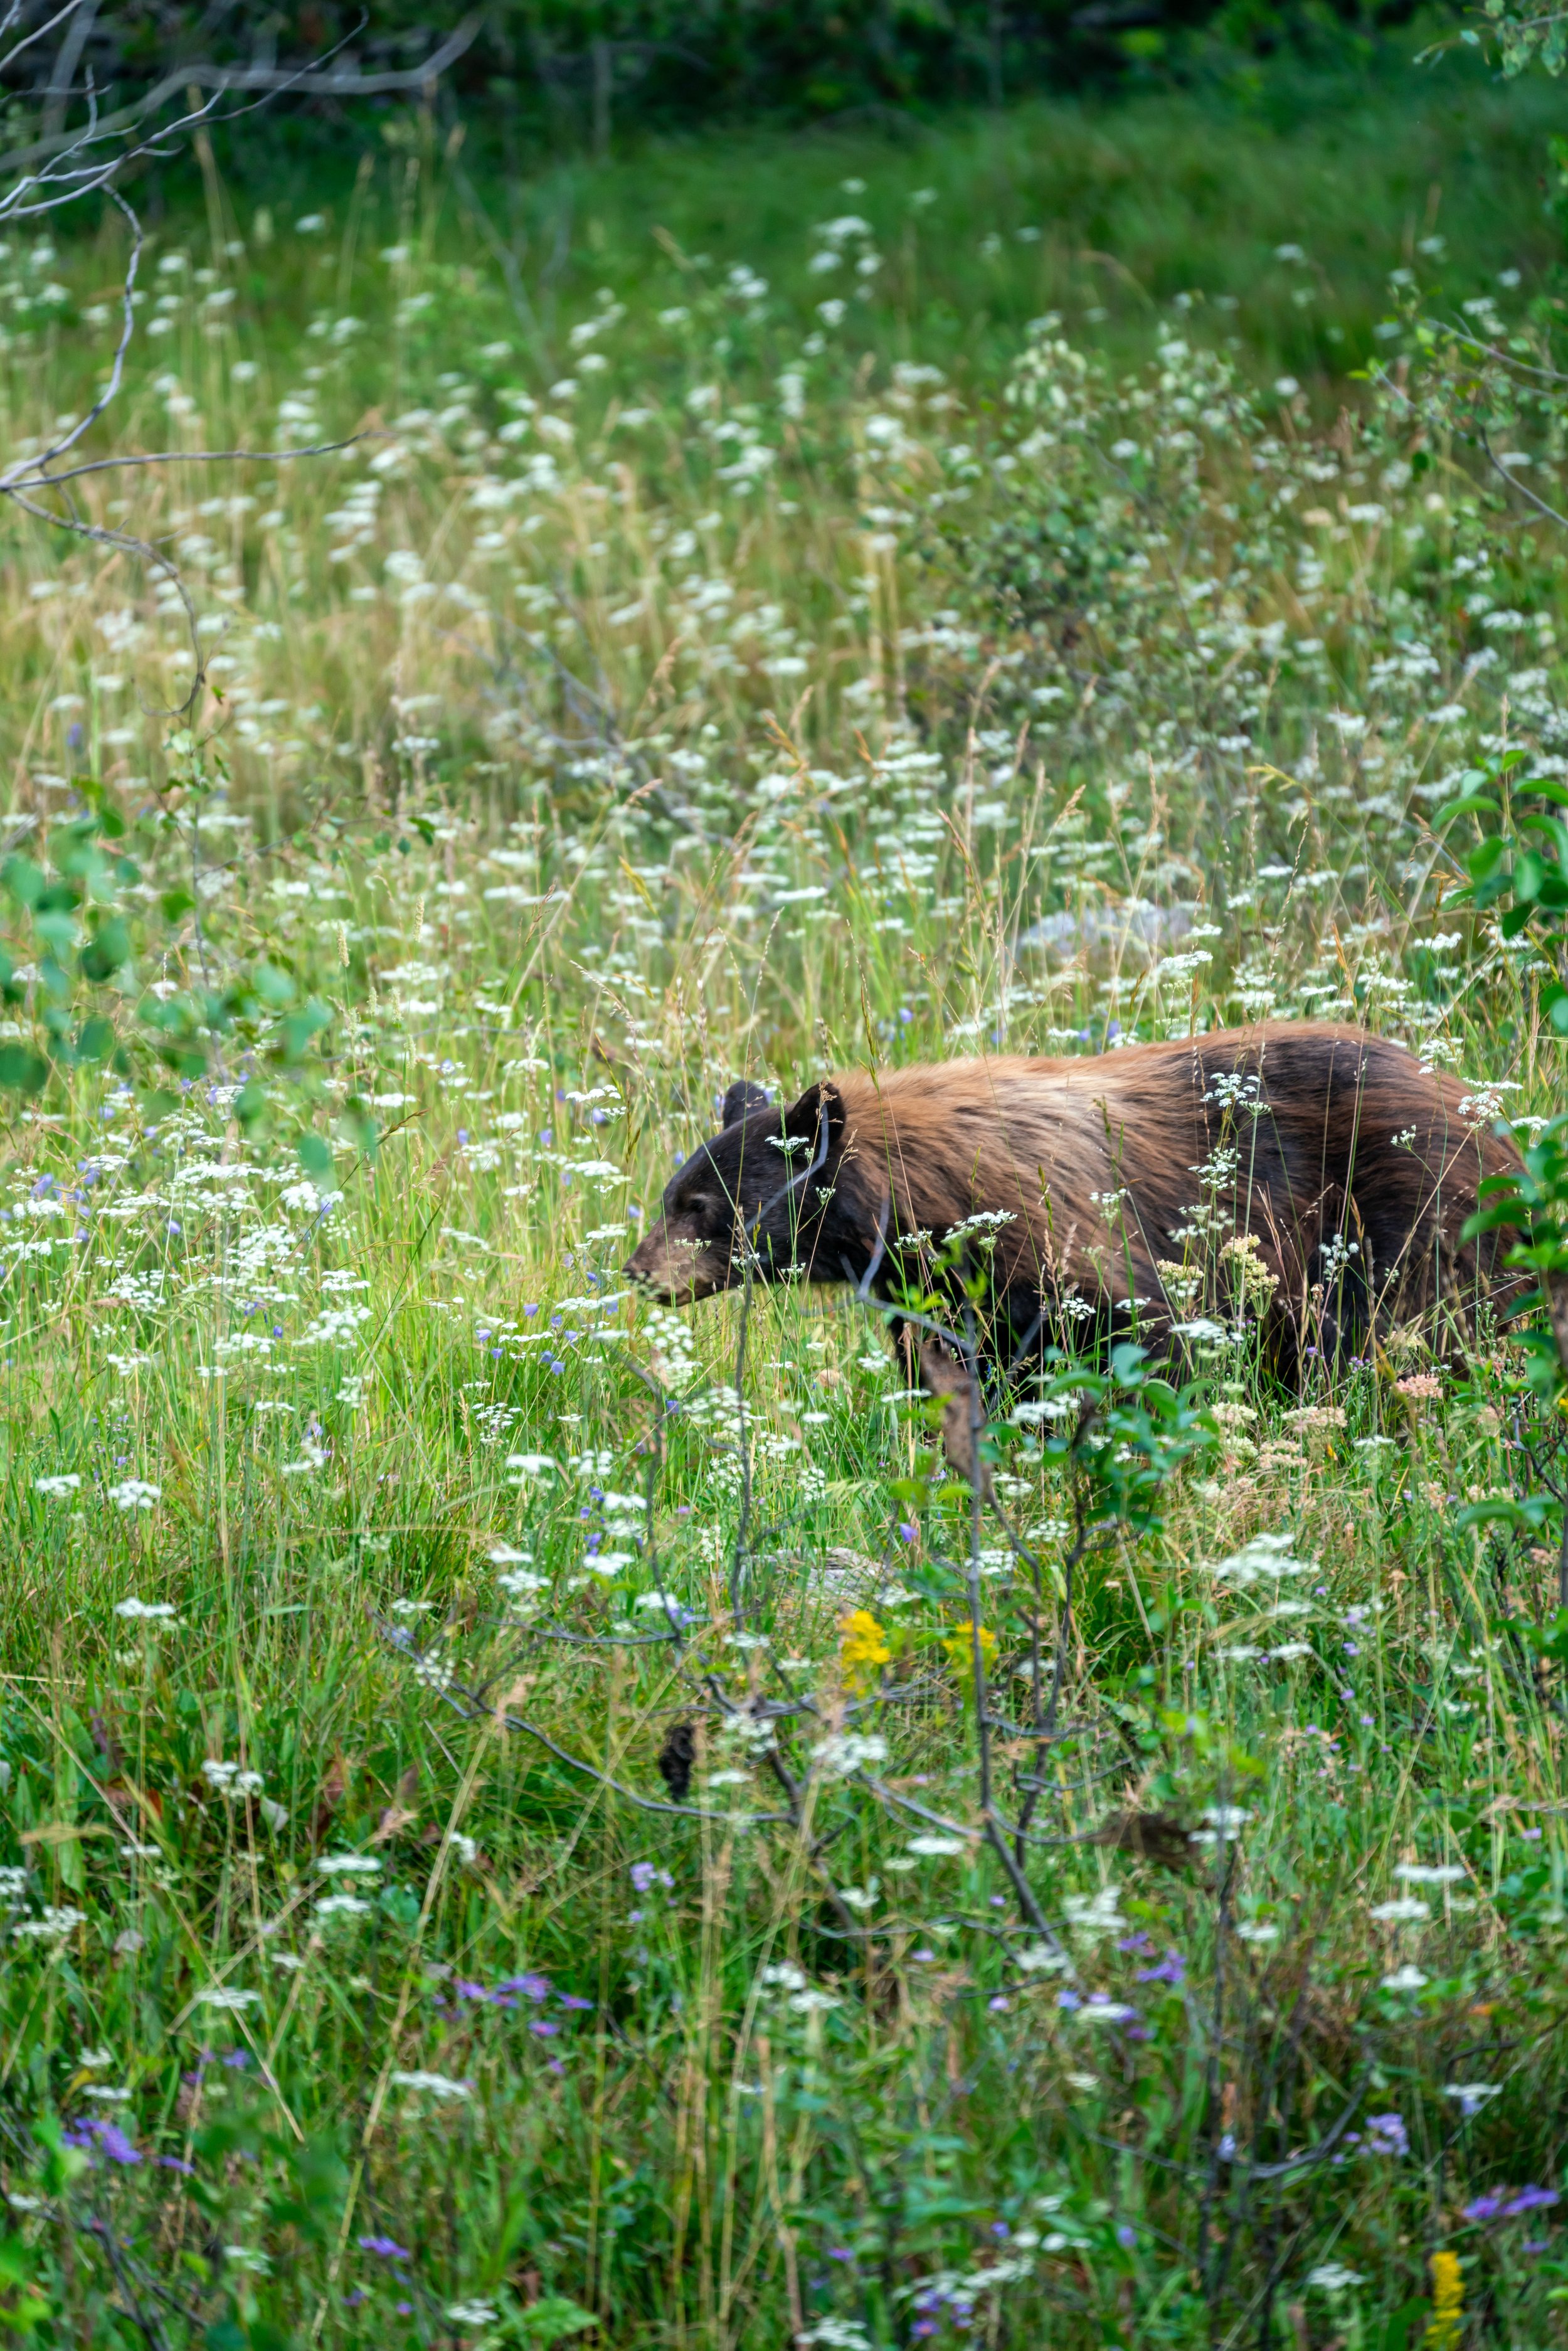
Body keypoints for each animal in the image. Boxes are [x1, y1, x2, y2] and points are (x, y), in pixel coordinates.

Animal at [620, 1025, 1523, 1467]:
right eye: (671, 1196)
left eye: (698, 1205)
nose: (636, 1272)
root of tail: (1492, 1122)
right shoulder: (945, 1295)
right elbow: (953, 1369)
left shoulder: (1065, 1242)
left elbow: (1138, 1341)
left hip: (1407, 1217)